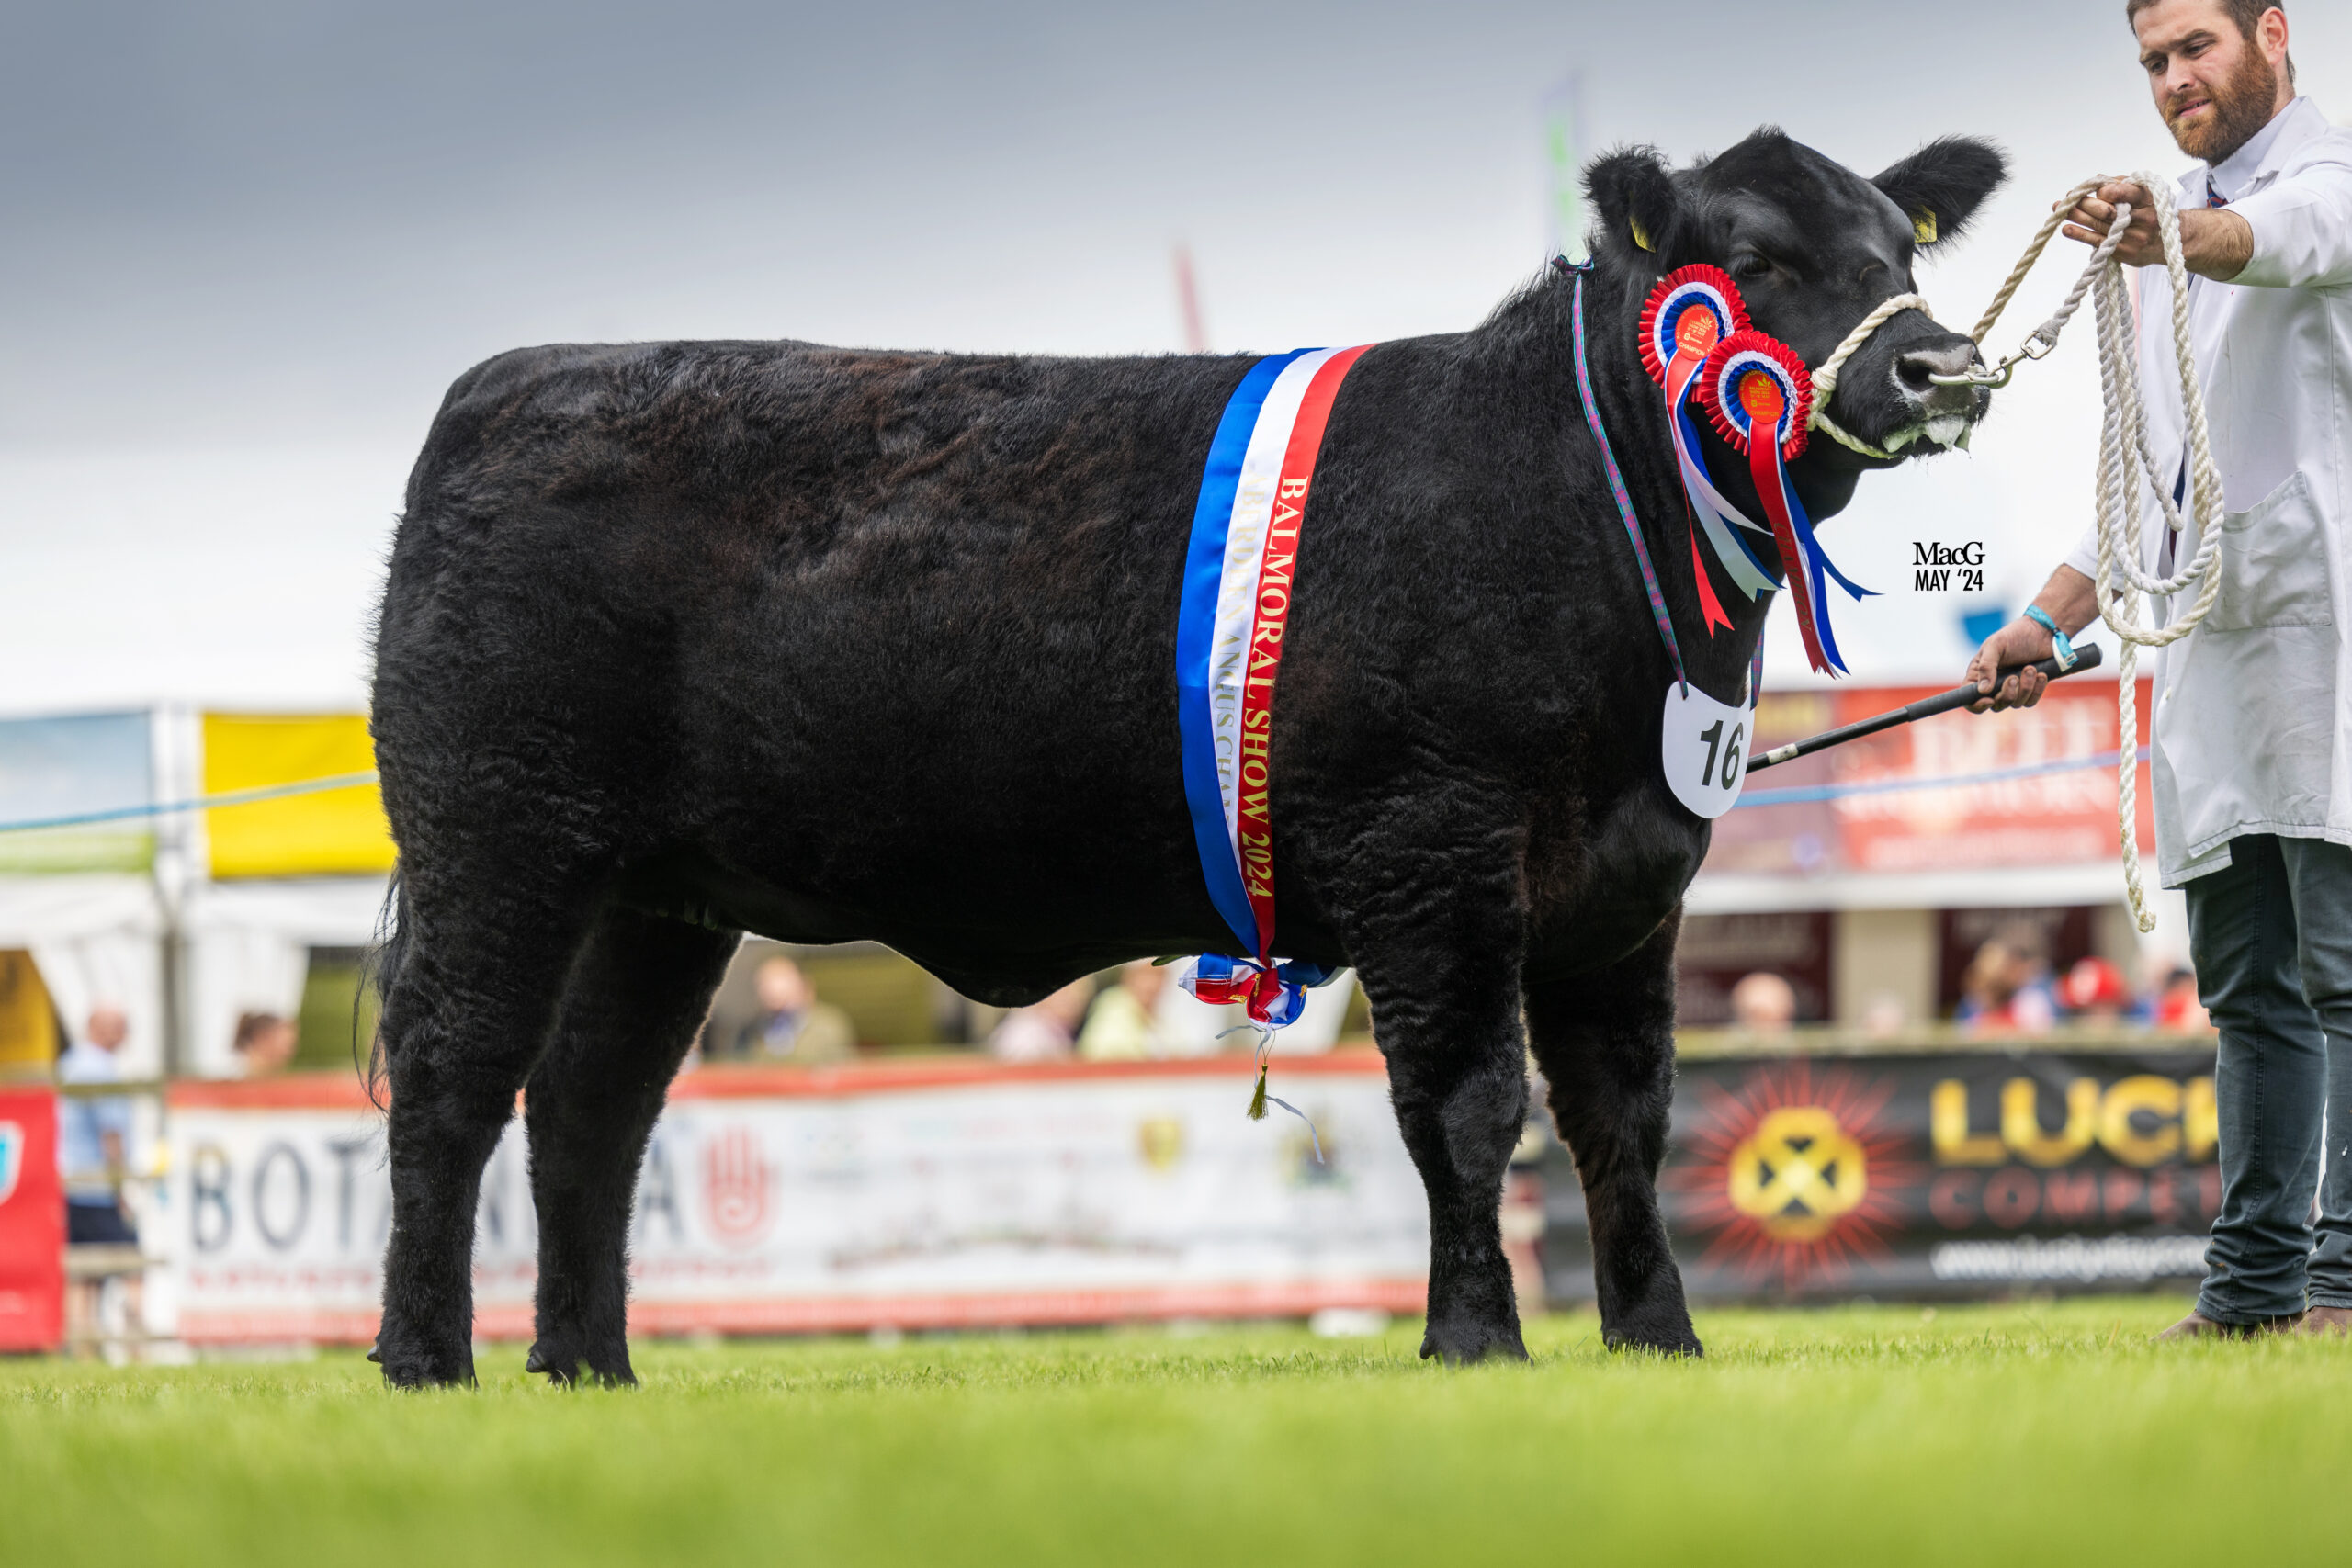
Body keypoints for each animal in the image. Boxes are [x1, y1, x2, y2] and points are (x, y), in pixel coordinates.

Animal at [367, 131, 2004, 1382]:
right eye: (1758, 260)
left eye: (1899, 249)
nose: (1944, 365)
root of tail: (505, 385)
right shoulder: (1430, 848)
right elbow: (1469, 1105)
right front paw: (1476, 1338)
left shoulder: (1627, 880)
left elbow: (1627, 1116)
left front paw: (1657, 1339)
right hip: (498, 836)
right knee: (453, 1077)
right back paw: (427, 1360)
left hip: (656, 891)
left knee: (591, 1106)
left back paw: (587, 1364)